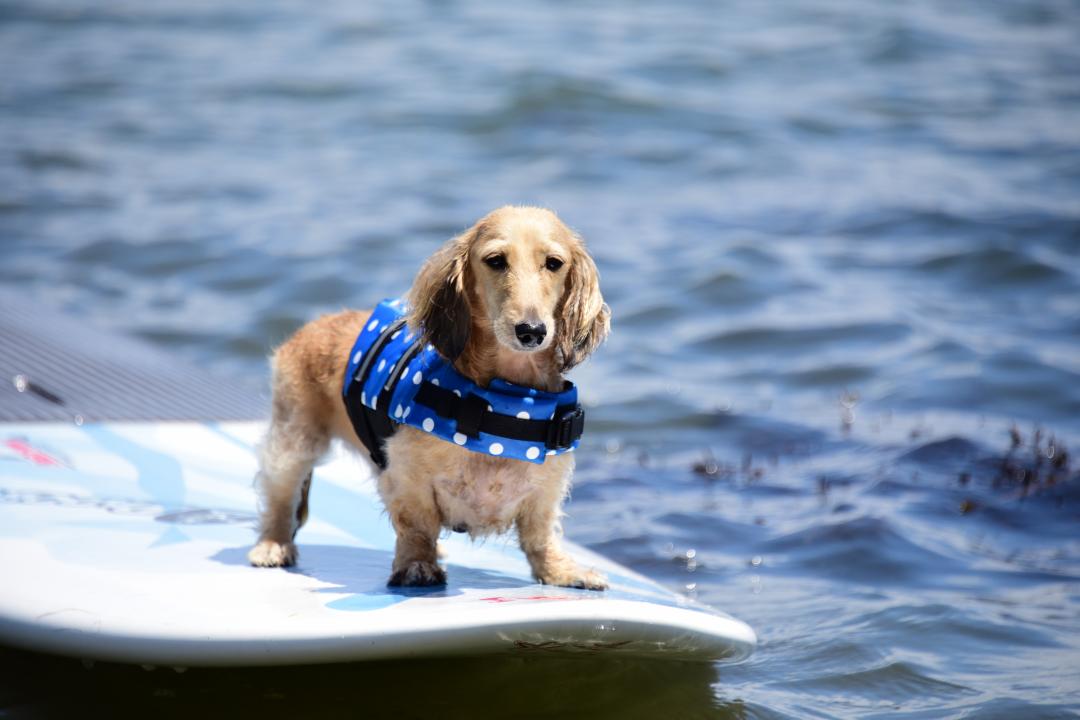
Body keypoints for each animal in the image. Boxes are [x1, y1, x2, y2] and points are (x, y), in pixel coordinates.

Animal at [247, 205, 613, 587]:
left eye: (554, 263)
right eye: (496, 260)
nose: (531, 331)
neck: (506, 396)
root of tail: (314, 325)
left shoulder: (545, 491)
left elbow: (540, 537)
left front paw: (561, 571)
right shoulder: (406, 478)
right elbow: (417, 526)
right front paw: (417, 565)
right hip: (294, 441)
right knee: (280, 495)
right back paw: (272, 545)